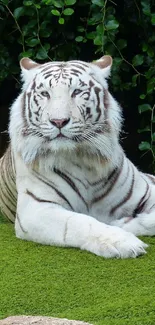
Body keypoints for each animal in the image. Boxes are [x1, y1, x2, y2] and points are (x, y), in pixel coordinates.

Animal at [0, 55, 154, 258]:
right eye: (45, 94)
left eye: (77, 92)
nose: (58, 121)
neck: (83, 159)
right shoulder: (35, 209)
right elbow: (79, 222)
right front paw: (123, 241)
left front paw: (125, 223)